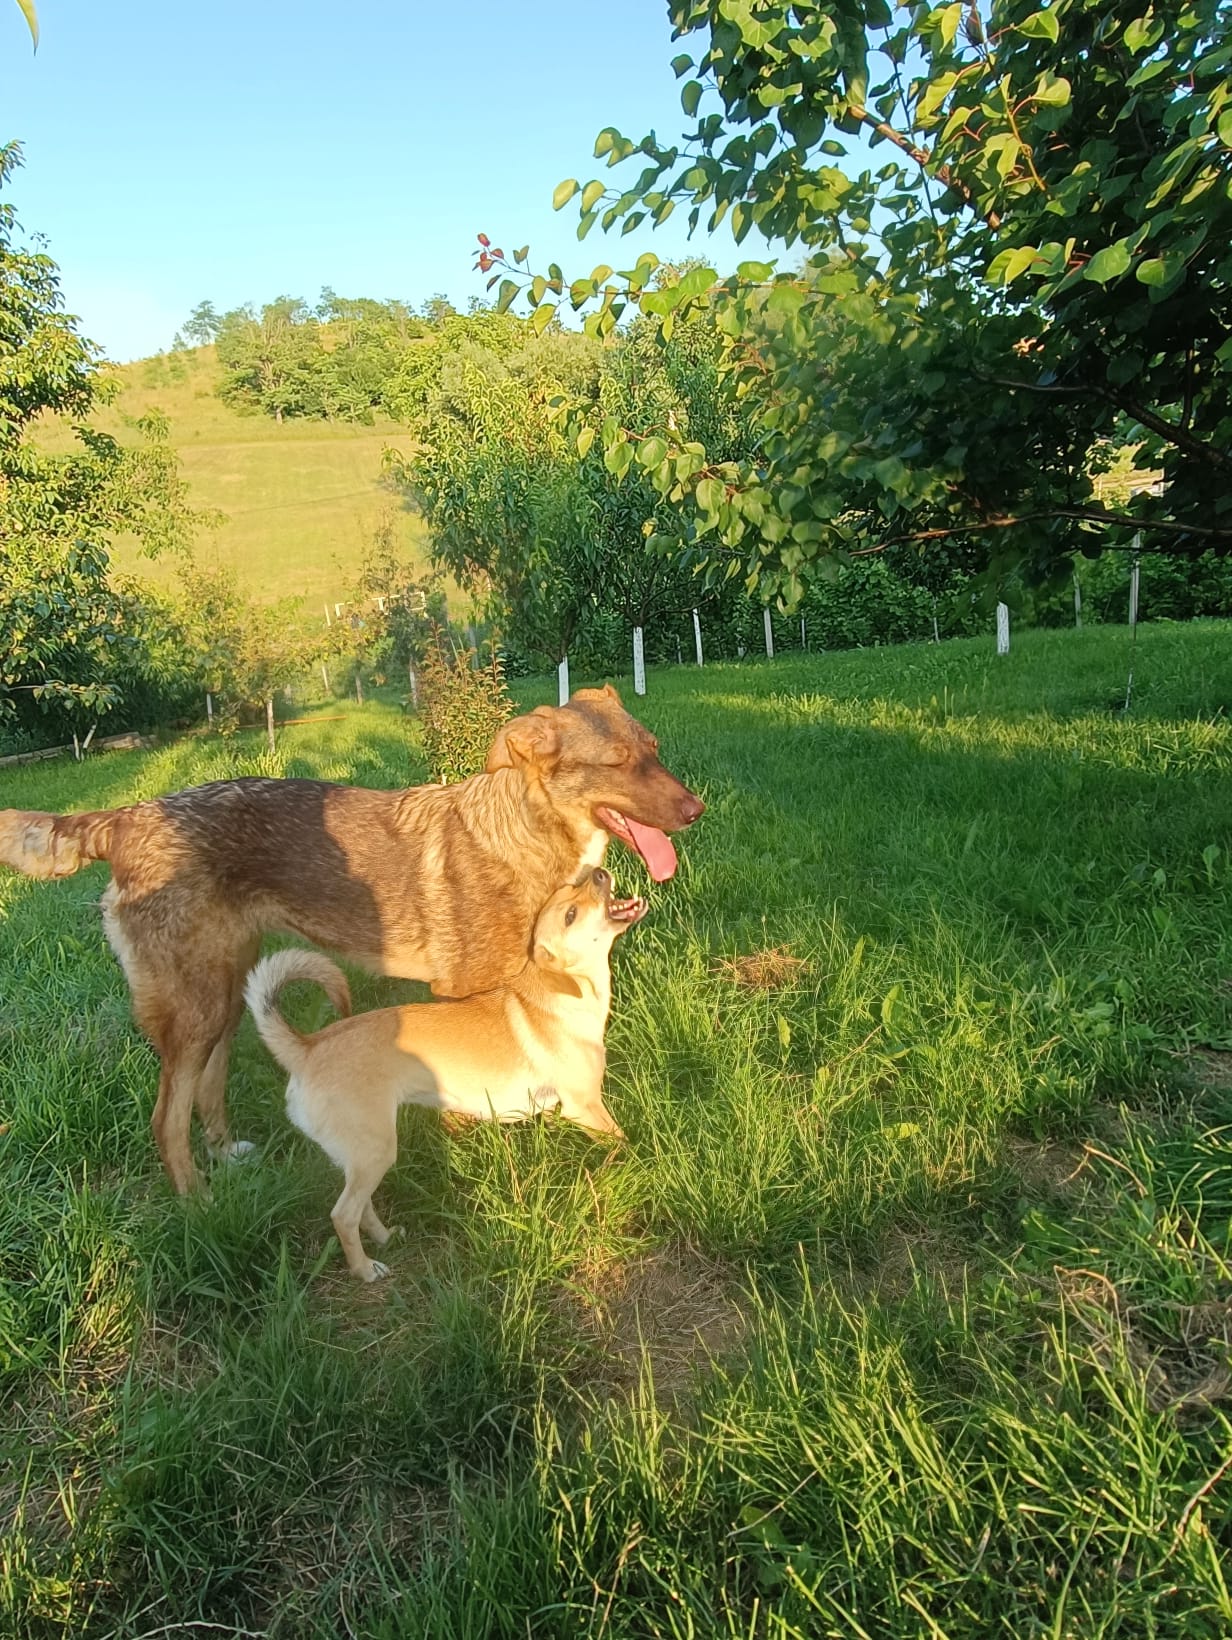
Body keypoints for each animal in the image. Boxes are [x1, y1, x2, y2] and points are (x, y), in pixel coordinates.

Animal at [0, 686, 702, 1193]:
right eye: (617, 764)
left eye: (655, 748)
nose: (696, 810)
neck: (527, 834)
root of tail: (126, 817)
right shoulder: (467, 991)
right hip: (195, 1009)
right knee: (166, 1119)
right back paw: (197, 1202)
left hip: (223, 999)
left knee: (205, 1091)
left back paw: (228, 1157)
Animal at [245, 868, 645, 1281]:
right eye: (570, 914)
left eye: (572, 886)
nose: (598, 873)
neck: (563, 991)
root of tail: (307, 1048)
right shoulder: (584, 1109)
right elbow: (624, 1143)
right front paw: (640, 1164)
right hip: (376, 1151)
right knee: (343, 1215)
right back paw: (365, 1269)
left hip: (358, 1157)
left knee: (362, 1207)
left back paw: (385, 1239)